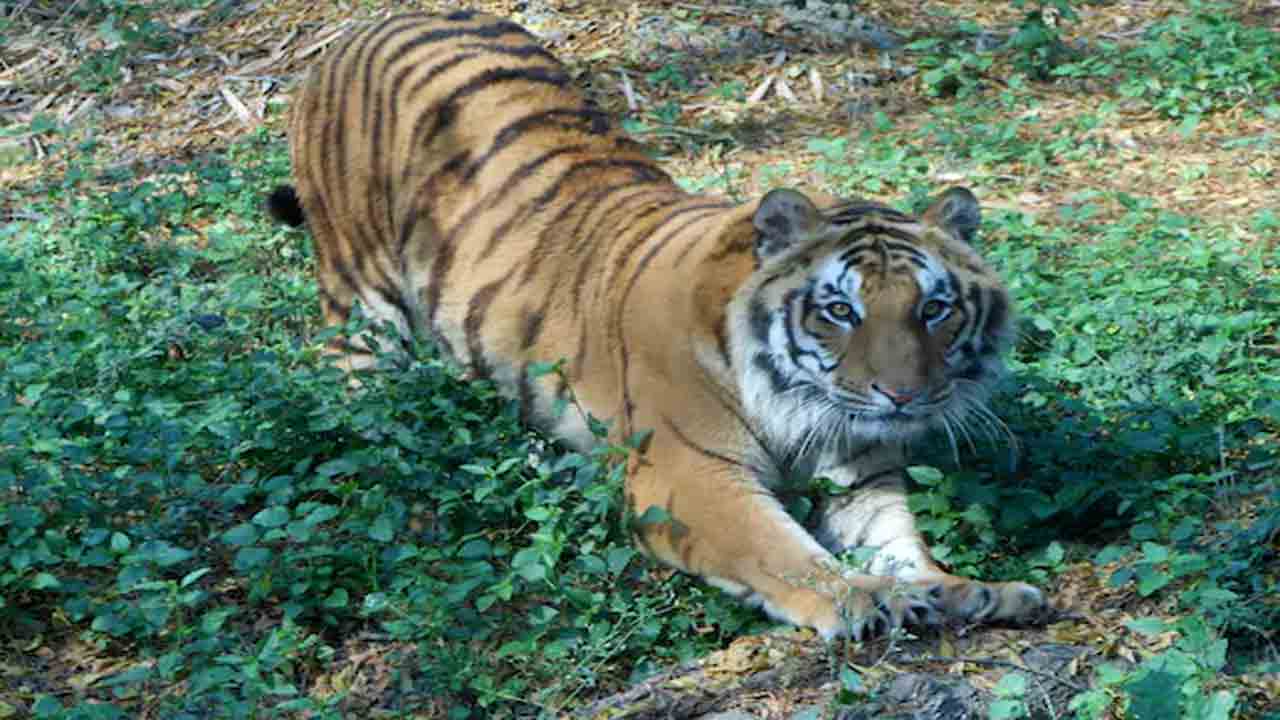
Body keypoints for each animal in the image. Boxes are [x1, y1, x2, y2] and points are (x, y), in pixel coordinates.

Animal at [266, 10, 1049, 639]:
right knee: (357, 406)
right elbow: (786, 554)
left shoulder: (859, 470)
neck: (795, 402)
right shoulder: (688, 478)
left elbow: (900, 541)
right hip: (362, 306)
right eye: (840, 311)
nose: (902, 396)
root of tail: (364, 28)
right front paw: (867, 599)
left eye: (934, 309)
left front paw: (967, 591)